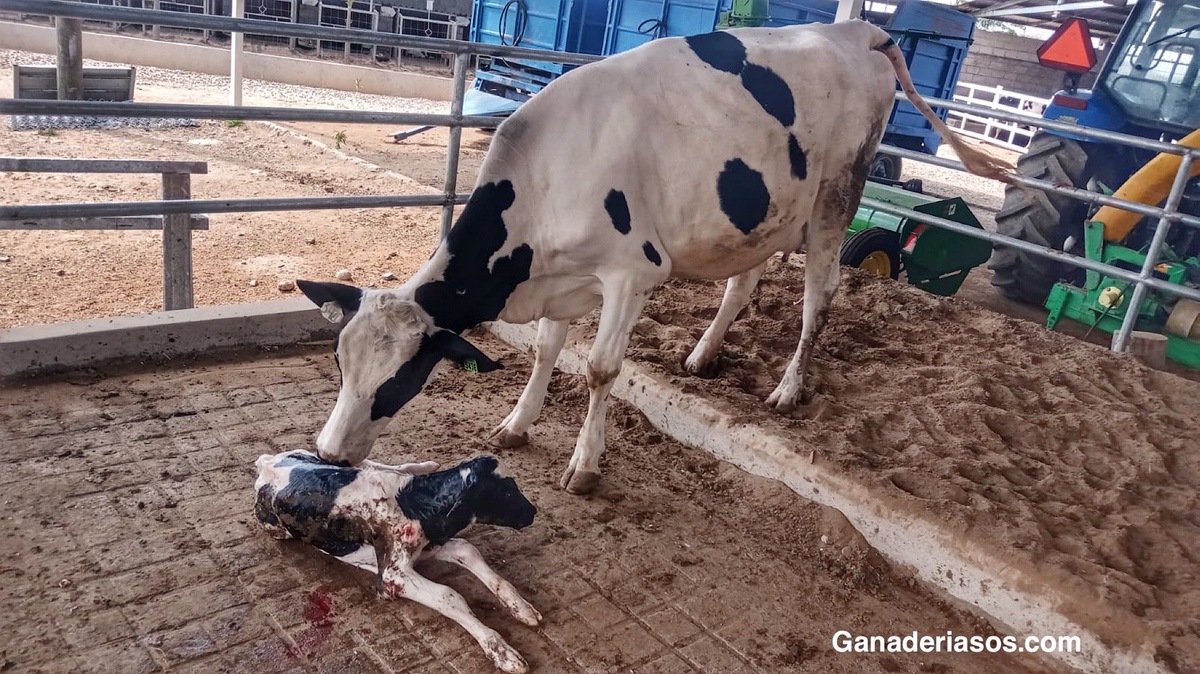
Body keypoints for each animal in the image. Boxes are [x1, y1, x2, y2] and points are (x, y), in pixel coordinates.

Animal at [255, 446, 542, 671]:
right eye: (505, 492)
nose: (533, 512)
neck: (413, 502)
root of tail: (267, 462)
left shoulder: (430, 545)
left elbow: (467, 549)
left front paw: (522, 607)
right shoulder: (394, 575)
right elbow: (449, 595)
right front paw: (502, 651)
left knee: (372, 464)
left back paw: (423, 466)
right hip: (277, 529)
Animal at [295, 19, 1008, 494]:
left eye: (399, 380)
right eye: (339, 362)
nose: (328, 455)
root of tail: (856, 30)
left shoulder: (631, 273)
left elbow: (600, 369)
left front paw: (584, 464)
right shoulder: (561, 275)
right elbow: (549, 351)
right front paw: (517, 423)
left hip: (837, 196)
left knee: (820, 297)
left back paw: (788, 388)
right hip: (766, 211)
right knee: (742, 286)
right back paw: (702, 355)